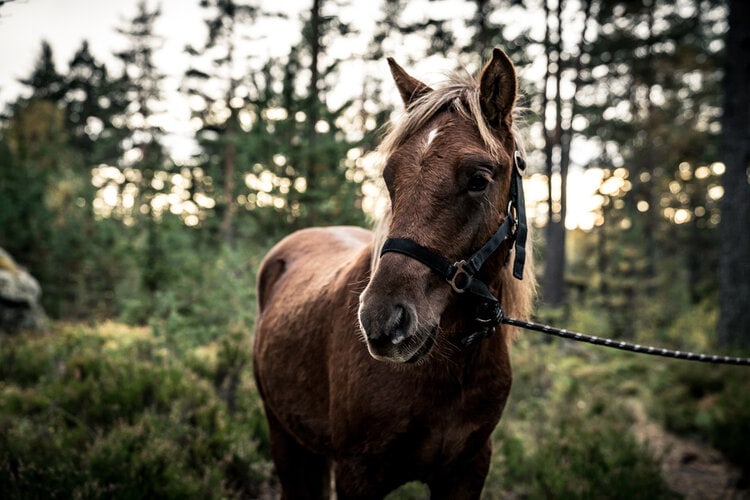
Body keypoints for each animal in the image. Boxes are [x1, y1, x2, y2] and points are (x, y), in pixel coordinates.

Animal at [256, 47, 536, 500]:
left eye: (478, 179)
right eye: (390, 176)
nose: (383, 321)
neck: (451, 368)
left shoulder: (469, 468)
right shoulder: (357, 473)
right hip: (285, 438)